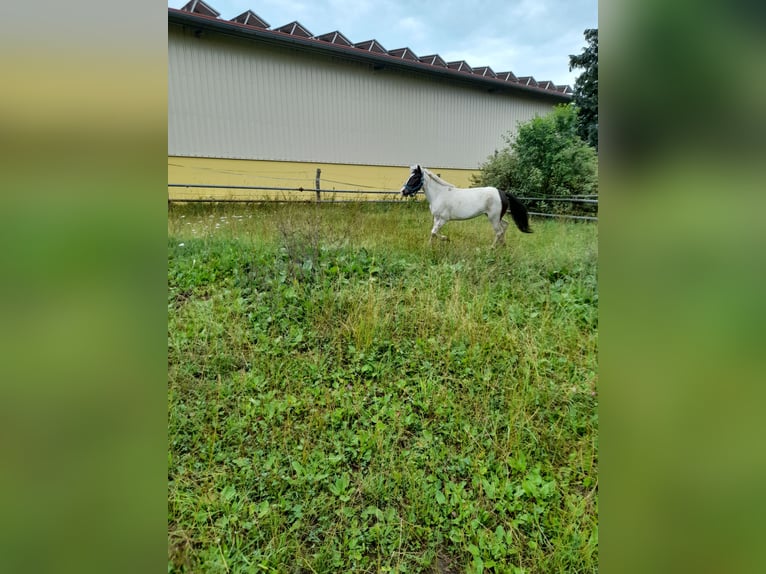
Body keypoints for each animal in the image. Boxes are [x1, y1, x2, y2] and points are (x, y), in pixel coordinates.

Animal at [400, 164, 532, 246]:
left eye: (415, 178)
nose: (403, 191)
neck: (439, 194)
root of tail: (502, 192)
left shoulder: (443, 219)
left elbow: (434, 232)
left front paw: (446, 239)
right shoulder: (436, 218)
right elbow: (433, 232)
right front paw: (431, 245)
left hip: (493, 218)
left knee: (499, 231)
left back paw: (491, 248)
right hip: (496, 217)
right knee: (505, 226)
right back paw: (503, 246)